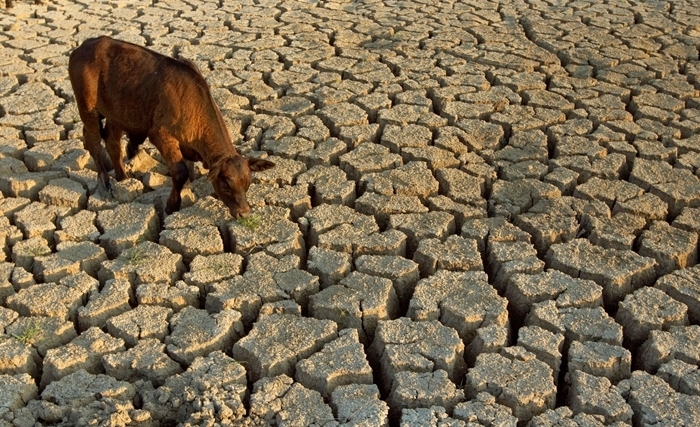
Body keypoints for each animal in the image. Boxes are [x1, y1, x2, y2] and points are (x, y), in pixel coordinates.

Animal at [67, 36, 272, 217]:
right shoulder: (160, 134)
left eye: (247, 183)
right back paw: (105, 182)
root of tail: (86, 45)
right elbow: (180, 172)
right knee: (93, 140)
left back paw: (122, 178)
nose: (244, 213)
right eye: (225, 185)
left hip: (116, 112)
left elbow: (188, 169)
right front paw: (172, 205)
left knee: (112, 143)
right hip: (87, 107)